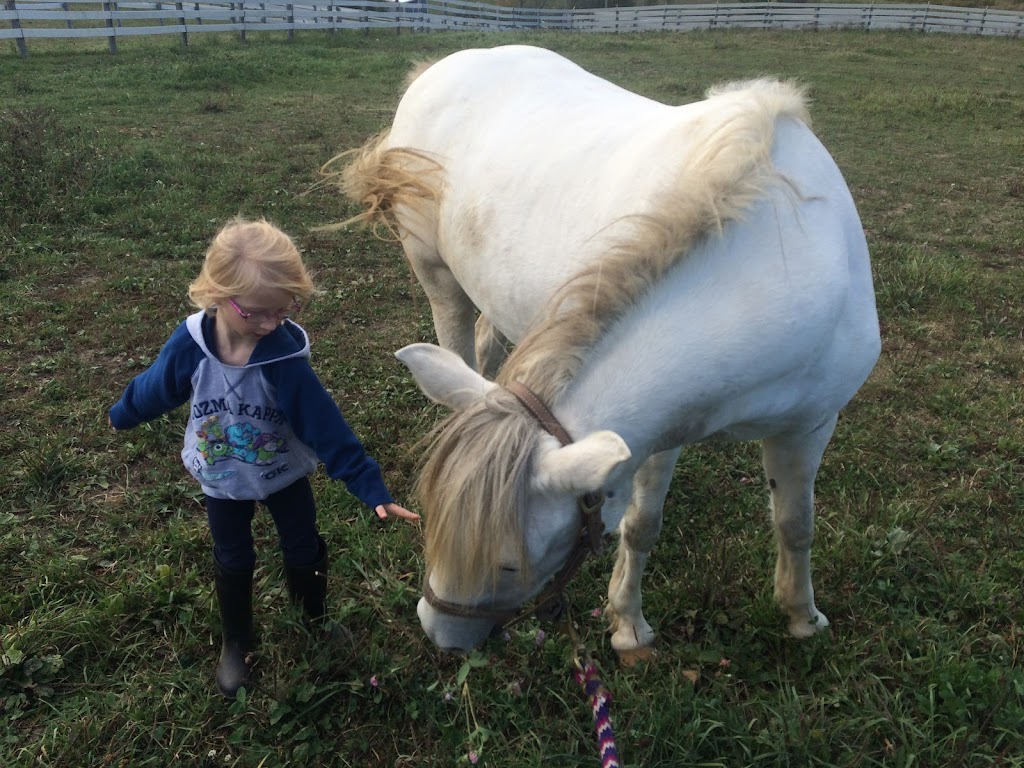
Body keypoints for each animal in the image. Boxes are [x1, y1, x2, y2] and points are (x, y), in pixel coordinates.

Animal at [331, 45, 876, 659]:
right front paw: (629, 626)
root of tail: (442, 67)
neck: (777, 271)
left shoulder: (809, 424)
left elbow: (796, 523)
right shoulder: (661, 432)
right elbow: (642, 525)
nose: (438, 634)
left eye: (509, 565)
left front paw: (802, 615)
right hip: (437, 276)